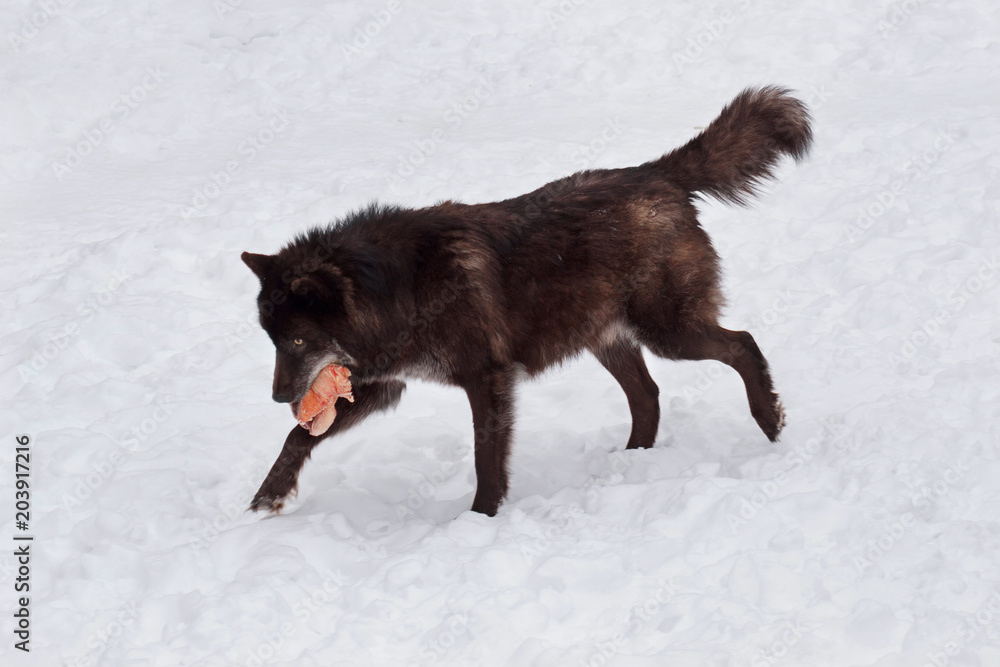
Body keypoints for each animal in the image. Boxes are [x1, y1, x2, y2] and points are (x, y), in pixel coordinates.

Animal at [241, 86, 812, 517]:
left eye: (298, 340)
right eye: (273, 341)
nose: (276, 396)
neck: (400, 289)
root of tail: (656, 173)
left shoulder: (487, 380)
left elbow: (486, 461)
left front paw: (480, 520)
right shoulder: (384, 387)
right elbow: (297, 438)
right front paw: (266, 498)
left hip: (668, 332)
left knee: (742, 344)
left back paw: (769, 421)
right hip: (608, 338)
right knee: (648, 395)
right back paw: (630, 465)